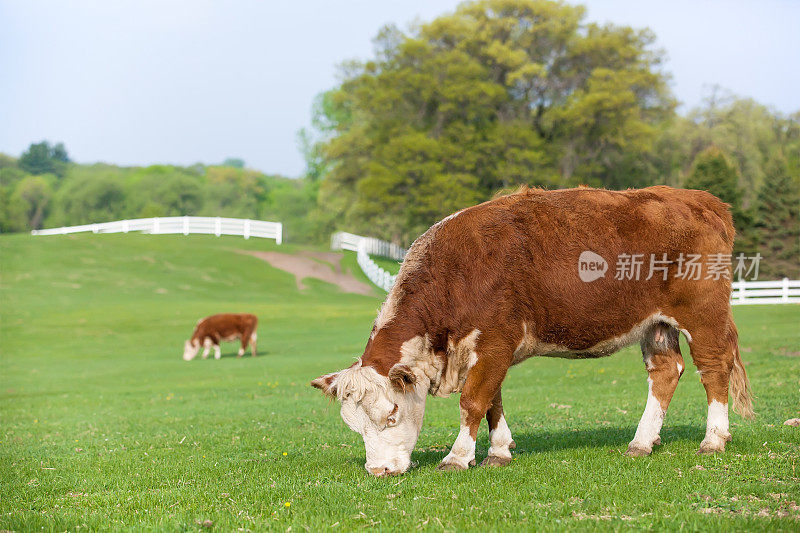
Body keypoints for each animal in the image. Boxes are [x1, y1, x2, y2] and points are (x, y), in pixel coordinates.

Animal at [310, 185, 752, 476]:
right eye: (354, 425)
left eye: (391, 414)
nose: (378, 471)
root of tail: (698, 198)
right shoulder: (486, 352)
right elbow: (492, 402)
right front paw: (499, 451)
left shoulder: (494, 343)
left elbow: (473, 401)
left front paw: (457, 457)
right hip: (656, 324)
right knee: (665, 371)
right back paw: (642, 442)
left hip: (703, 314)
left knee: (714, 369)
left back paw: (713, 439)